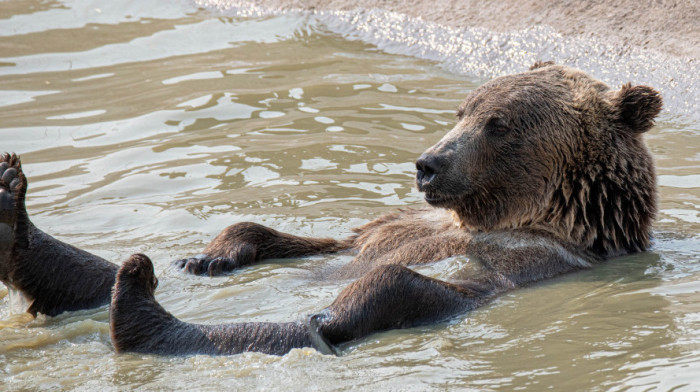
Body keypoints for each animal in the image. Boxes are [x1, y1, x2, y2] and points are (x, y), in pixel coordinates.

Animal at [0, 62, 660, 358]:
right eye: (462, 111)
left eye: (498, 123)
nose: (428, 164)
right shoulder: (390, 224)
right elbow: (301, 236)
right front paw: (211, 256)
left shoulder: (531, 262)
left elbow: (424, 280)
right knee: (93, 278)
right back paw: (15, 214)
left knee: (360, 301)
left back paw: (141, 311)